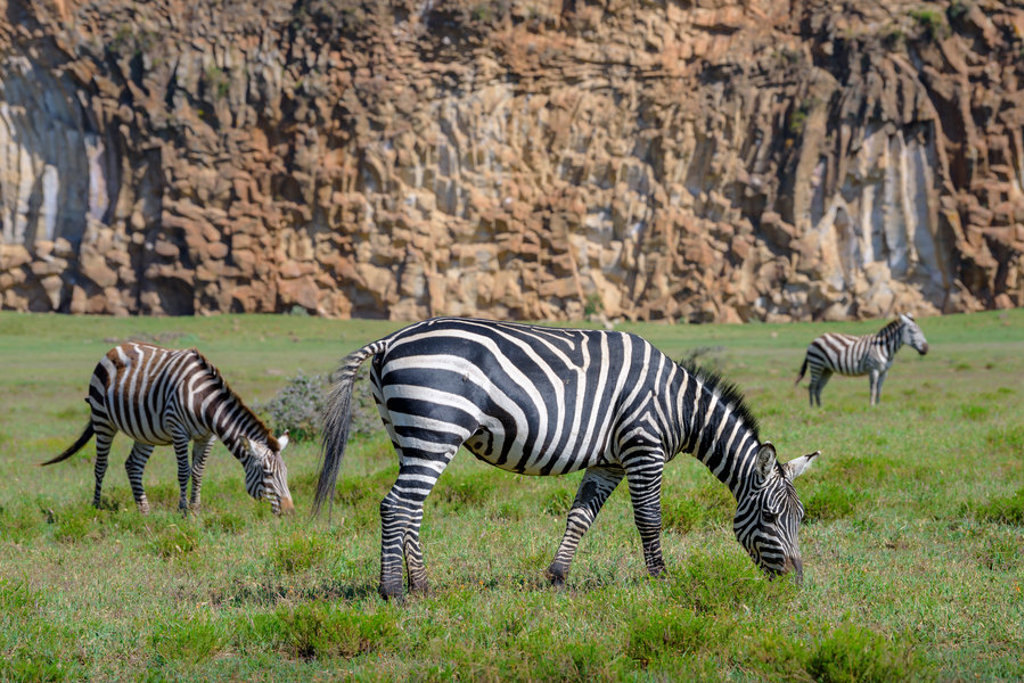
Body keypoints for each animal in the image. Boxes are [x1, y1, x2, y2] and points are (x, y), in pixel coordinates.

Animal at [42, 342, 295, 515]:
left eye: (285, 473)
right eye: (268, 474)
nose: (290, 511)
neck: (204, 402)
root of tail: (116, 347)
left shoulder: (207, 437)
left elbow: (198, 472)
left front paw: (195, 508)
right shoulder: (178, 430)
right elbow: (183, 471)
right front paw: (183, 510)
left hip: (144, 431)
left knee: (133, 465)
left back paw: (144, 510)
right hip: (103, 419)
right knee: (101, 465)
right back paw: (96, 506)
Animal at [313, 317, 820, 600]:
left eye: (800, 518)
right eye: (770, 517)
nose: (795, 584)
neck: (680, 406)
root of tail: (391, 340)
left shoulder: (609, 460)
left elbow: (580, 516)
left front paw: (556, 578)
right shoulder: (644, 447)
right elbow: (650, 518)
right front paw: (662, 580)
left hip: (411, 434)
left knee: (411, 509)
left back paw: (421, 585)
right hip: (435, 429)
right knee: (396, 506)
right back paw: (393, 592)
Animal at [795, 313, 929, 407]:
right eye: (913, 331)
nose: (926, 349)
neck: (884, 347)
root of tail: (815, 340)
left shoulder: (884, 372)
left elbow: (879, 389)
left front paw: (879, 406)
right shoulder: (873, 369)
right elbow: (873, 389)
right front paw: (872, 406)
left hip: (827, 369)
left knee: (818, 388)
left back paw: (820, 407)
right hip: (816, 364)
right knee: (811, 386)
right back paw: (812, 408)